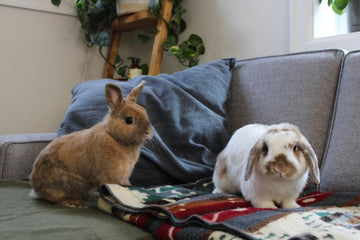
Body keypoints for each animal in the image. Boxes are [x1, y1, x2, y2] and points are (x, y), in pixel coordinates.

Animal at [28, 79, 151, 207]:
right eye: (129, 120)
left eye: (145, 113)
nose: (148, 133)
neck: (114, 137)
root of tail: (36, 189)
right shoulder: (112, 178)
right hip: (64, 184)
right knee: (56, 199)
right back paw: (75, 203)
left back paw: (92, 196)